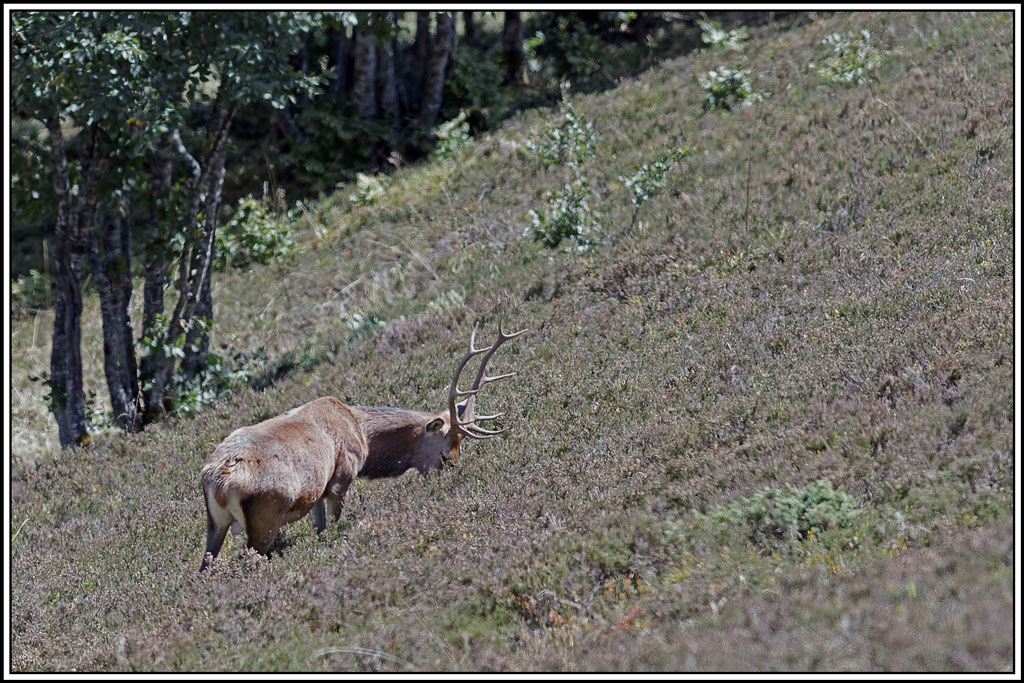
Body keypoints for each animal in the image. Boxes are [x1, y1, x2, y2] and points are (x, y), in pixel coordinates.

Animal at [198, 321, 526, 572]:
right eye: (446, 453)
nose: (454, 473)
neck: (363, 433)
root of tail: (219, 481)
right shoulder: (342, 476)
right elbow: (334, 524)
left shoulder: (319, 489)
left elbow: (320, 528)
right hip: (266, 515)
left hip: (215, 523)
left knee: (205, 565)